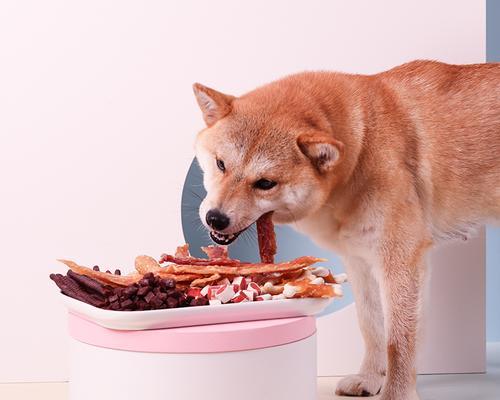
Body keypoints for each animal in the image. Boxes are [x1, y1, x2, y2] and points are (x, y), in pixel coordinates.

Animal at [192, 60, 500, 400]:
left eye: (265, 183)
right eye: (221, 164)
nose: (215, 218)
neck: (361, 150)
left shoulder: (400, 261)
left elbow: (399, 340)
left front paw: (396, 393)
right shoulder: (360, 262)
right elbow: (371, 325)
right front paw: (369, 377)